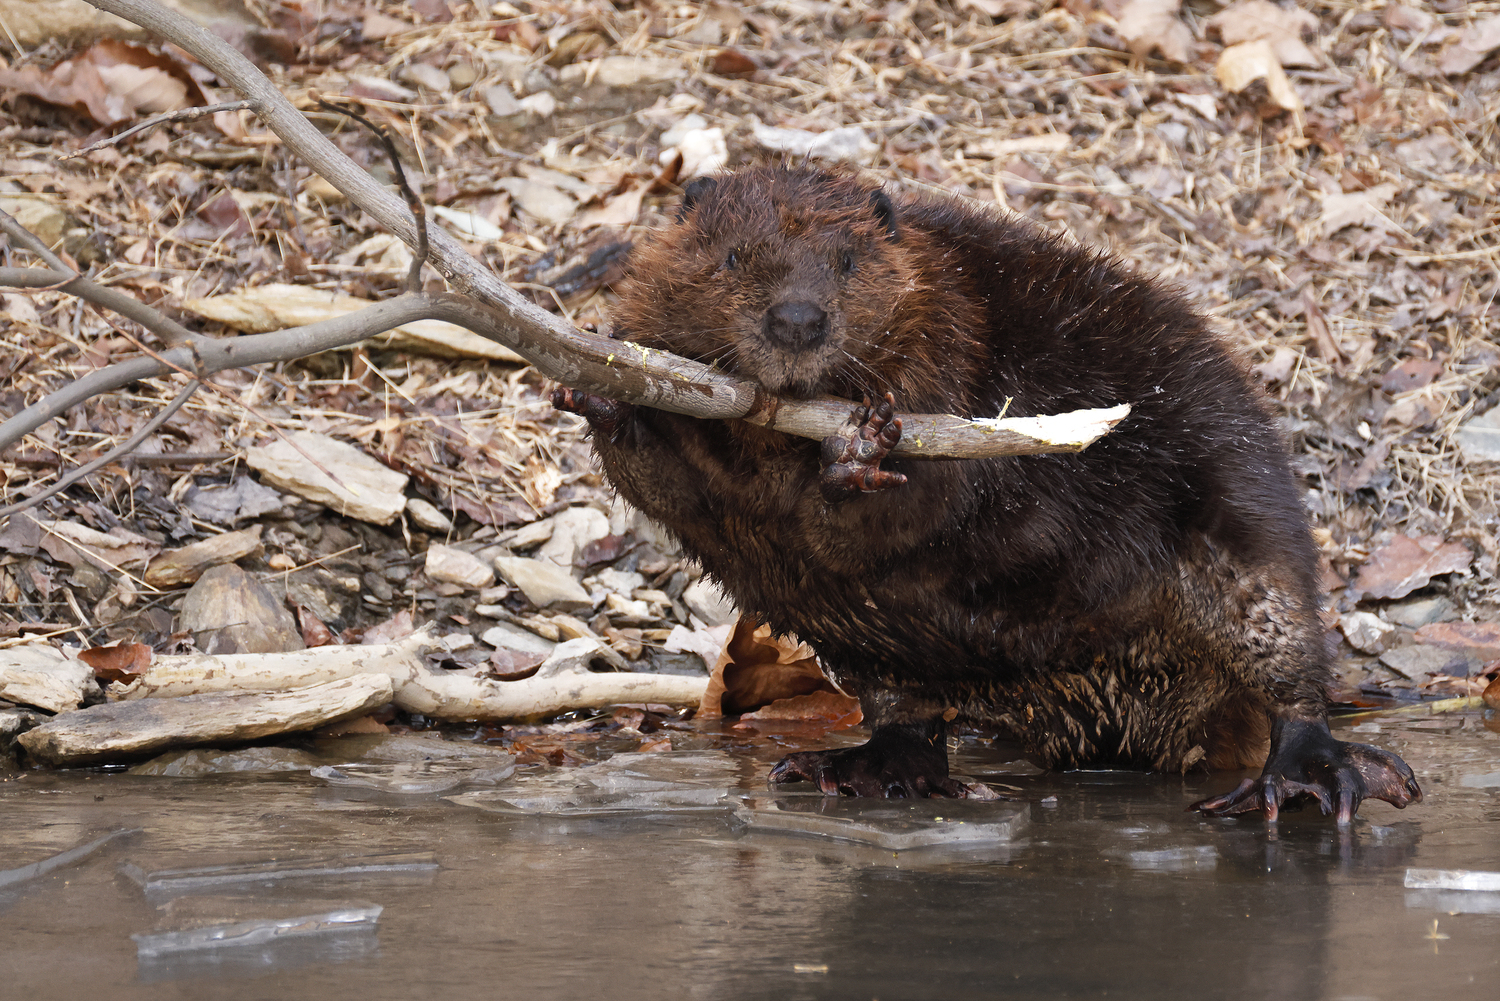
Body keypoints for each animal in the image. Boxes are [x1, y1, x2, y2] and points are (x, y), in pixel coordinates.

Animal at [551, 163, 1420, 824]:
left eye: (847, 262)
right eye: (732, 257)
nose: (796, 321)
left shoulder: (952, 360)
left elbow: (926, 505)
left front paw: (859, 450)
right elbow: (672, 486)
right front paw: (604, 396)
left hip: (1242, 522)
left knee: (1287, 660)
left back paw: (1310, 776)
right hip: (880, 654)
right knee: (905, 716)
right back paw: (853, 768)